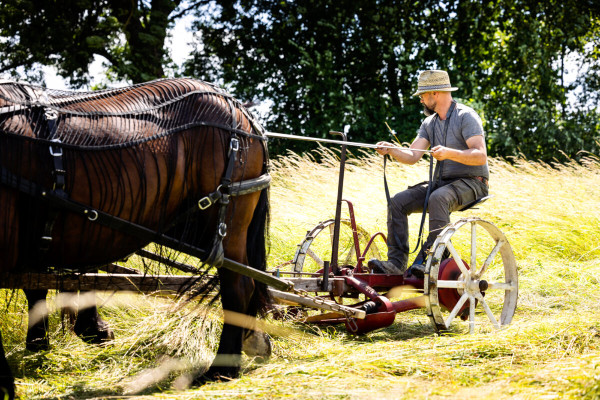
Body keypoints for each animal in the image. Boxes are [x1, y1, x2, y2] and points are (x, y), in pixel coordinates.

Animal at [0, 77, 272, 396]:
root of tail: (239, 108)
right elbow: (40, 286)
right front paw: (43, 343)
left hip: (227, 218)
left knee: (238, 286)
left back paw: (222, 368)